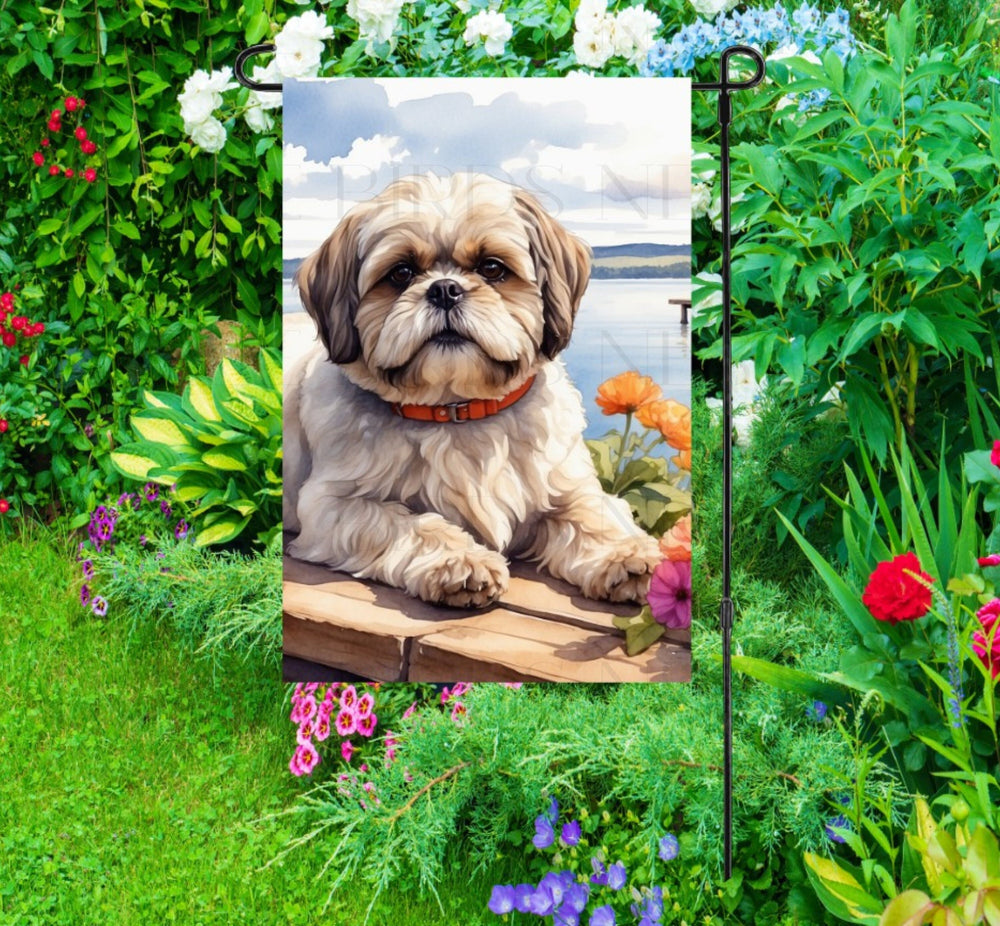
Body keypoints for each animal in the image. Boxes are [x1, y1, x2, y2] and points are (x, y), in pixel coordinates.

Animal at [284, 173, 656, 608]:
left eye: (491, 267)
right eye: (401, 273)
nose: (445, 288)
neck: (457, 409)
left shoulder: (568, 486)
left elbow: (592, 514)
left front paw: (623, 554)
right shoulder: (330, 505)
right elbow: (410, 522)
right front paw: (460, 562)